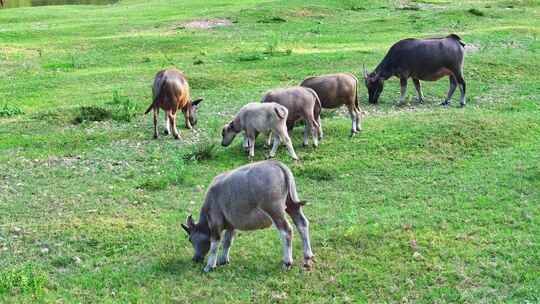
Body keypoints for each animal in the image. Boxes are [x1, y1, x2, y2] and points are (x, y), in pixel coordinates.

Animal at [184, 160, 314, 272]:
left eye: (190, 239)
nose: (195, 259)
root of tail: (277, 164)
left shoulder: (215, 223)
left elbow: (215, 244)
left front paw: (210, 265)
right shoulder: (231, 225)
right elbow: (227, 241)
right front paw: (223, 260)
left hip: (275, 210)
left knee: (286, 231)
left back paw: (287, 262)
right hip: (292, 205)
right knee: (302, 224)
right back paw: (307, 257)